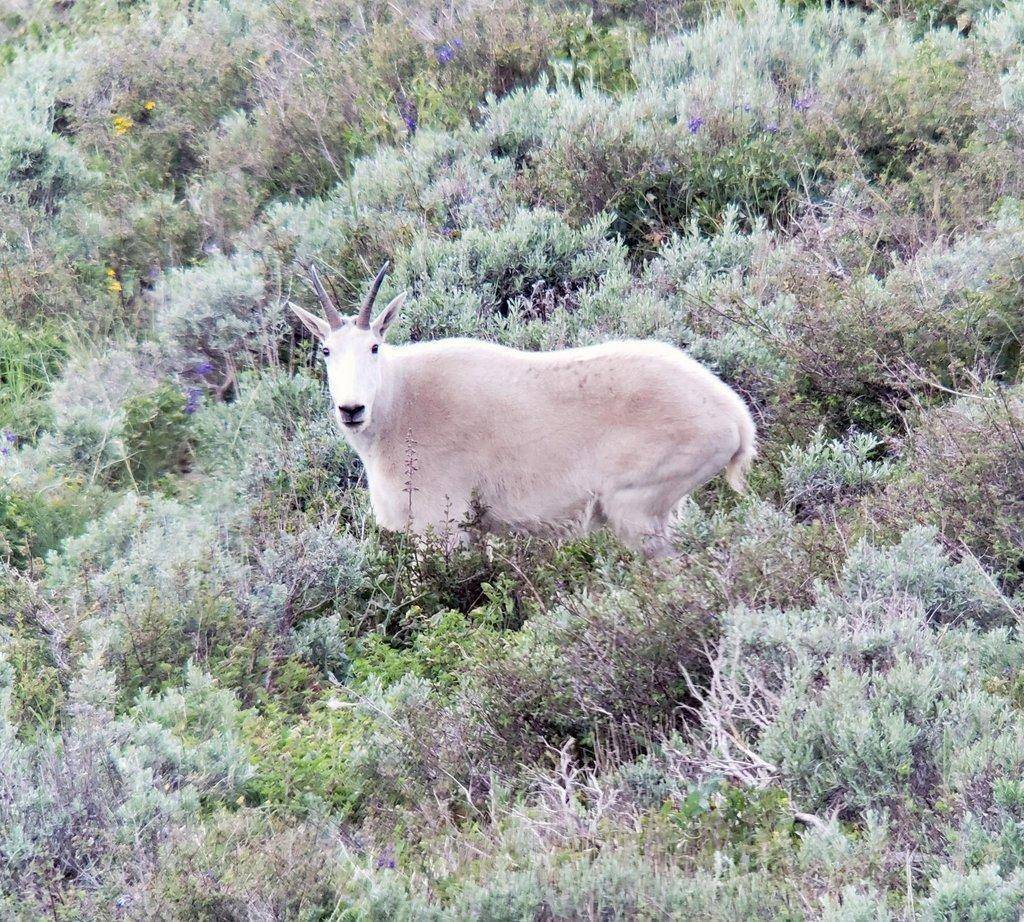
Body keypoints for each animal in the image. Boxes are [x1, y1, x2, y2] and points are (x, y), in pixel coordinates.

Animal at [288, 262, 753, 557]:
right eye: (325, 350)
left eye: (374, 346)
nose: (351, 408)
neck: (398, 402)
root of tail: (735, 417)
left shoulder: (438, 525)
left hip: (636, 506)